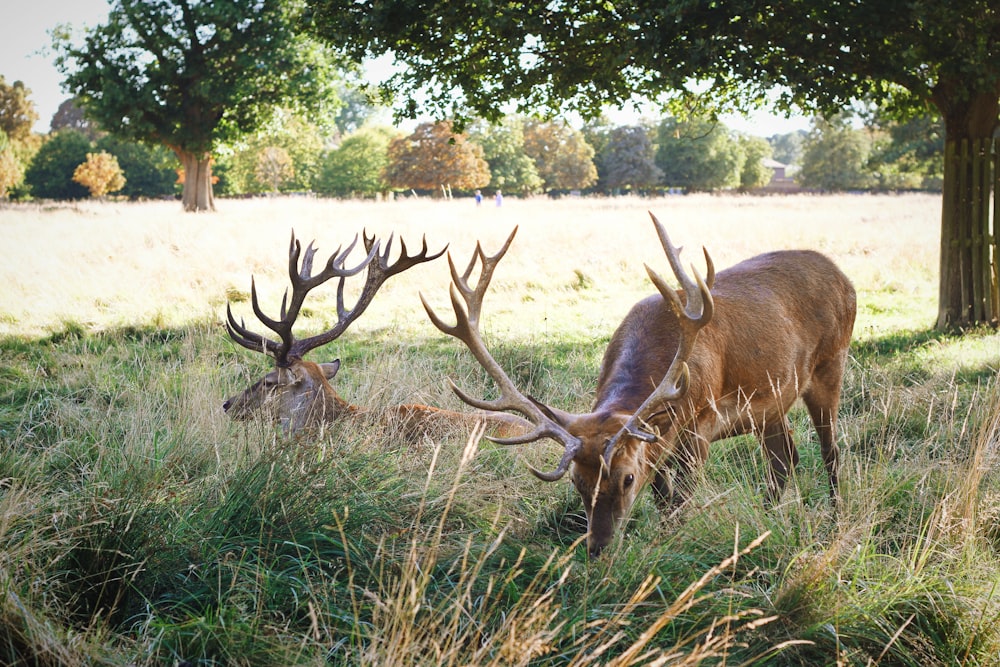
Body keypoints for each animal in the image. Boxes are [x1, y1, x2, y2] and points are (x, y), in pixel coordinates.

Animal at [418, 213, 856, 560]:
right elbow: (663, 498)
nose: (598, 548)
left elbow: (680, 500)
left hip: (831, 364)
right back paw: (766, 521)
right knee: (785, 458)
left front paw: (669, 544)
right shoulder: (659, 441)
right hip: (772, 403)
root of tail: (843, 276)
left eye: (627, 478)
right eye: (578, 481)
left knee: (830, 452)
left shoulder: (701, 422)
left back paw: (837, 520)